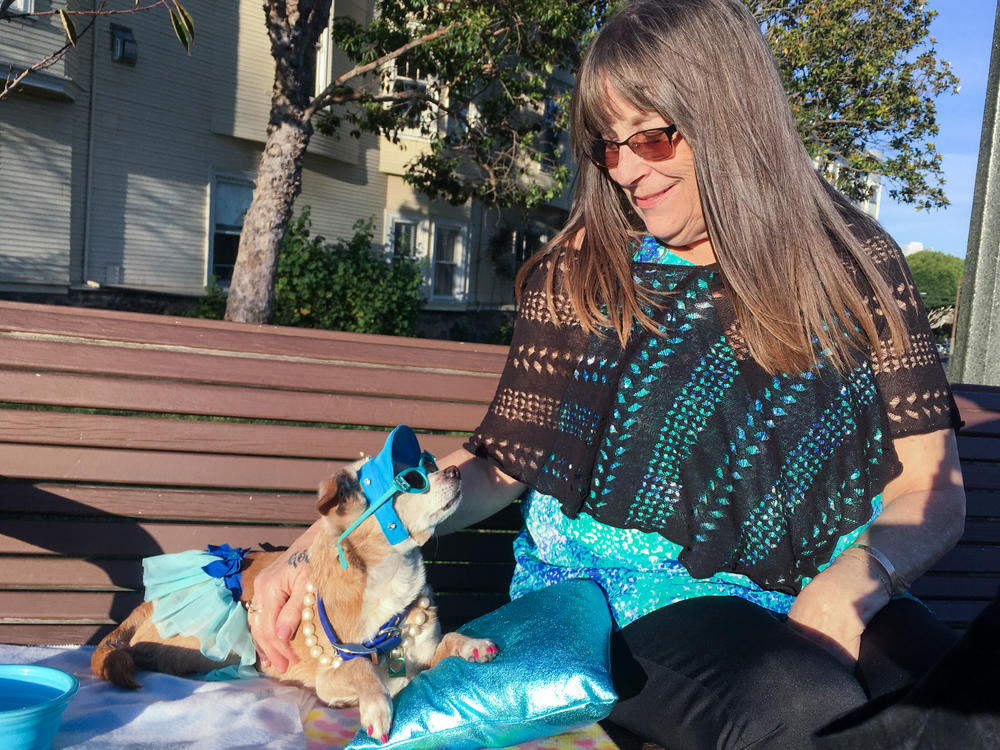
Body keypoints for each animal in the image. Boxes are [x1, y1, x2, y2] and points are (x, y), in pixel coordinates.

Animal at [92, 426, 498, 744]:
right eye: (413, 481)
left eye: (429, 465)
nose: (454, 470)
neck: (389, 579)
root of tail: (147, 606)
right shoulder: (332, 678)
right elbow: (365, 671)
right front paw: (377, 703)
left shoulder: (422, 649)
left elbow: (444, 642)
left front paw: (471, 644)